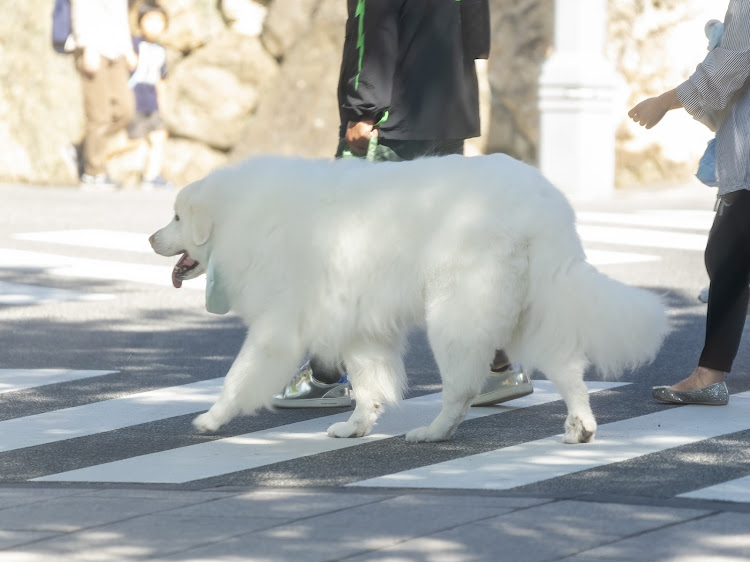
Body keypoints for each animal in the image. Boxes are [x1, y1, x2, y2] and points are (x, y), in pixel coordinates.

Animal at [150, 153, 668, 442]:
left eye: (176, 217)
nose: (151, 238)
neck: (246, 219)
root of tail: (547, 206)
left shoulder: (277, 327)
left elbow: (238, 377)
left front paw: (211, 420)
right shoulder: (360, 329)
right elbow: (368, 384)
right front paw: (357, 427)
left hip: (454, 314)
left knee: (460, 390)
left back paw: (433, 434)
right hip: (530, 312)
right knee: (568, 372)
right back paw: (581, 427)